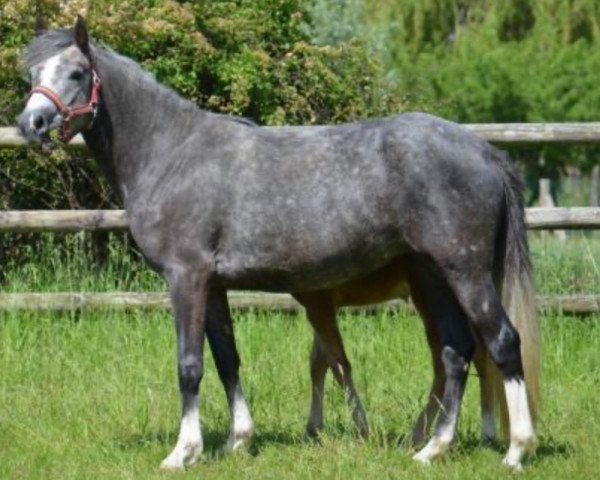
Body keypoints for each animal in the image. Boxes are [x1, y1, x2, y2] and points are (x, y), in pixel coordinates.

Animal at [17, 16, 540, 470]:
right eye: (33, 73)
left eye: (76, 72)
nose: (31, 124)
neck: (171, 154)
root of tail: (486, 152)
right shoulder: (214, 285)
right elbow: (227, 359)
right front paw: (237, 442)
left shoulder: (186, 278)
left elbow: (190, 364)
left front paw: (183, 452)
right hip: (433, 277)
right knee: (455, 352)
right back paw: (433, 449)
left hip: (465, 273)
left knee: (501, 342)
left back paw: (516, 450)